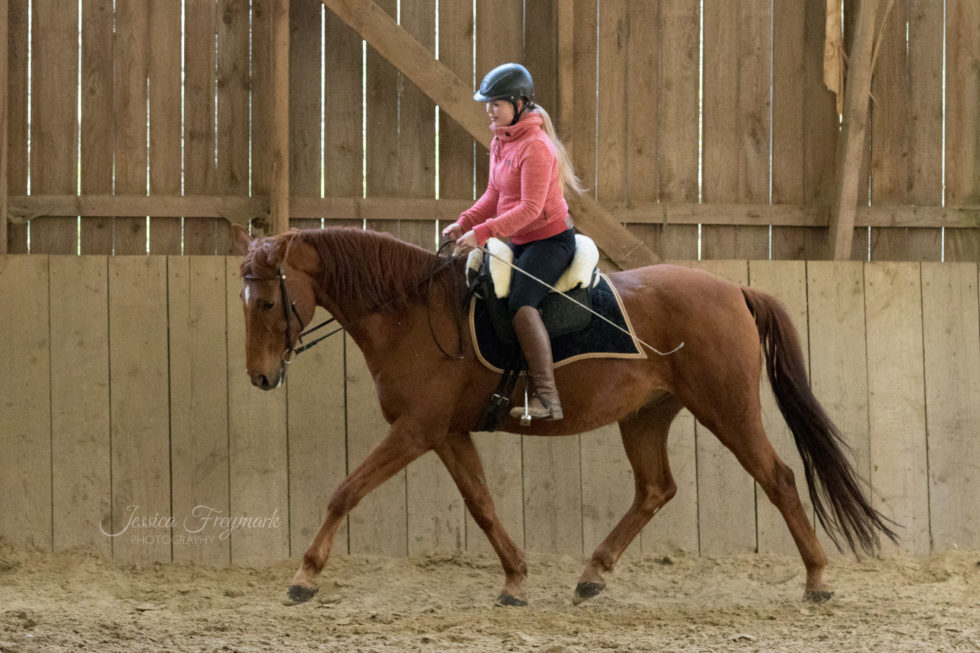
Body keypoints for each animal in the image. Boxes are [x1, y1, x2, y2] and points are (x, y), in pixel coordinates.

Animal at [230, 224, 896, 608]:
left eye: (266, 303)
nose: (260, 377)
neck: (412, 312)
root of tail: (734, 289)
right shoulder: (446, 433)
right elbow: (481, 503)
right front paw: (515, 579)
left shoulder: (416, 430)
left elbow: (345, 491)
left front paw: (305, 576)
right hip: (646, 415)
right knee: (655, 489)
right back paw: (592, 575)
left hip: (728, 409)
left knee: (777, 478)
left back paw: (817, 581)